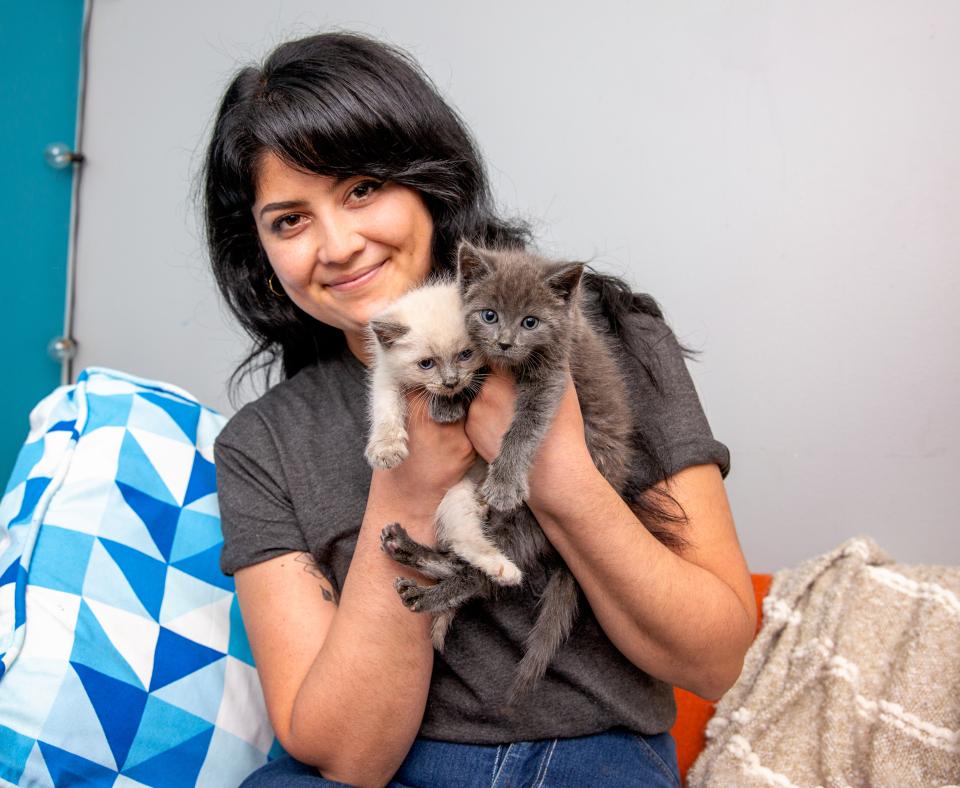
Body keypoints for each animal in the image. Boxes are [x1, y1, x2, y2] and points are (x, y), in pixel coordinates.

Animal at [364, 282, 520, 584]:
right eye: (426, 364)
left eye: (465, 355)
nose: (450, 381)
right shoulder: (387, 377)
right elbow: (386, 410)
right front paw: (387, 450)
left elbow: (474, 381)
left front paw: (447, 407)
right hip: (456, 498)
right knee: (462, 541)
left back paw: (505, 570)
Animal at [380, 243, 636, 700]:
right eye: (489, 315)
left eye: (530, 322)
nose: (504, 342)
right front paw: (447, 402)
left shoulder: (553, 373)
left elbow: (524, 425)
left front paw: (502, 481)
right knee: (465, 556)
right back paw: (408, 552)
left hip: (531, 520)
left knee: (485, 574)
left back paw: (429, 595)